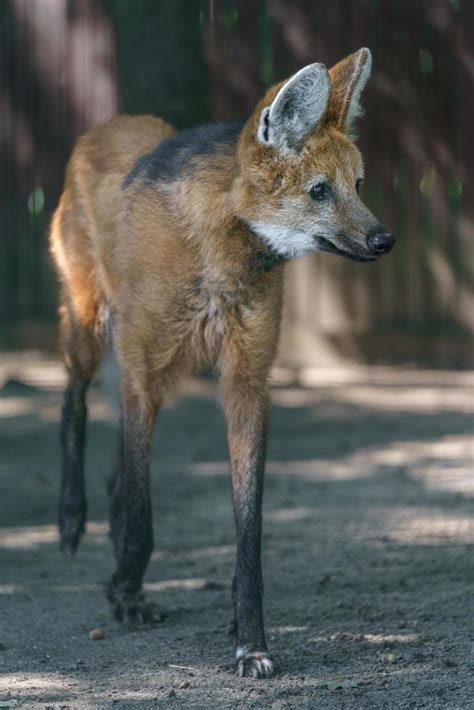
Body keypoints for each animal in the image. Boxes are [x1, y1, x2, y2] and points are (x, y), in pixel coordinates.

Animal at [50, 47, 394, 680]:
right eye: (319, 191)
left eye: (357, 184)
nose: (385, 240)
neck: (220, 252)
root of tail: (108, 123)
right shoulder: (143, 369)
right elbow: (144, 510)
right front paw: (125, 590)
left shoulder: (245, 380)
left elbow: (247, 527)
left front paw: (249, 639)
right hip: (91, 328)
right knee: (74, 402)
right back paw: (72, 520)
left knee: (118, 462)